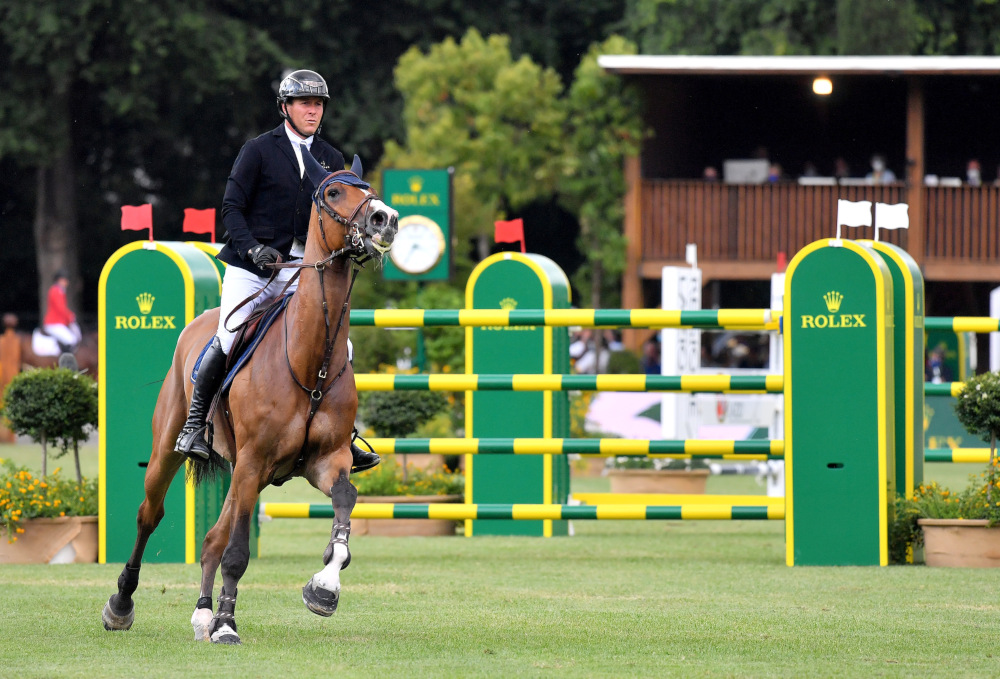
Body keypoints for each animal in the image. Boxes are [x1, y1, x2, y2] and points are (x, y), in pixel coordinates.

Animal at [101, 151, 398, 644]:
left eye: (370, 189)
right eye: (335, 192)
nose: (386, 220)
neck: (310, 362)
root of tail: (198, 322)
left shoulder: (325, 461)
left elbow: (345, 499)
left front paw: (324, 587)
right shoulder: (256, 460)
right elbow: (238, 554)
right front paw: (227, 625)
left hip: (246, 475)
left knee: (212, 539)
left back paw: (202, 615)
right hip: (178, 453)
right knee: (151, 516)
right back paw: (122, 606)